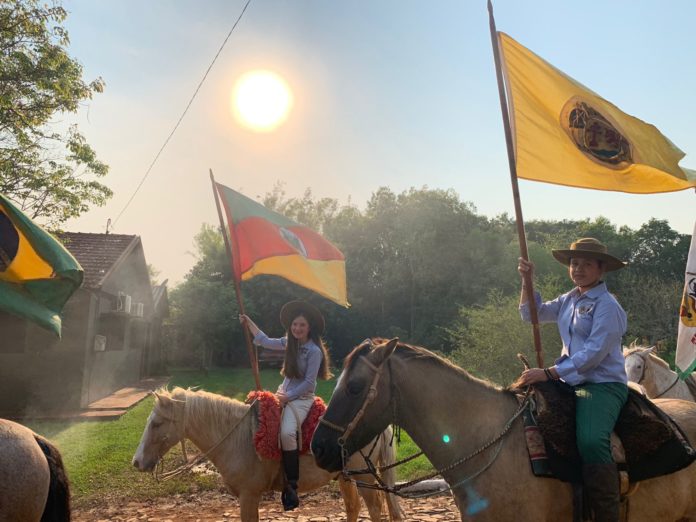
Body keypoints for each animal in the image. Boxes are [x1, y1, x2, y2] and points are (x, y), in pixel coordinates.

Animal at [132, 386, 402, 520]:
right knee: (353, 508)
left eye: (156, 423)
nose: (137, 462)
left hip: (363, 477)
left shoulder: (249, 496)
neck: (239, 438)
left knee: (375, 510)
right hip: (346, 477)